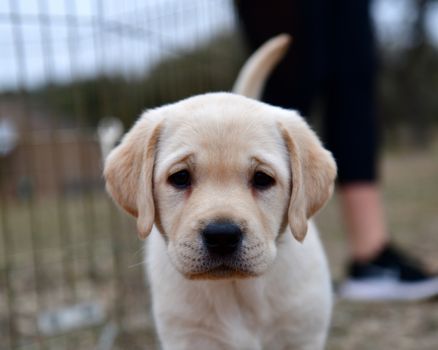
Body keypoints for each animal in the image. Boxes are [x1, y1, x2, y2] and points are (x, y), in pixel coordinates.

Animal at [104, 35, 338, 350]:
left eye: (262, 179)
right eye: (180, 177)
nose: (222, 236)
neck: (234, 289)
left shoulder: (302, 335)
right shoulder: (187, 338)